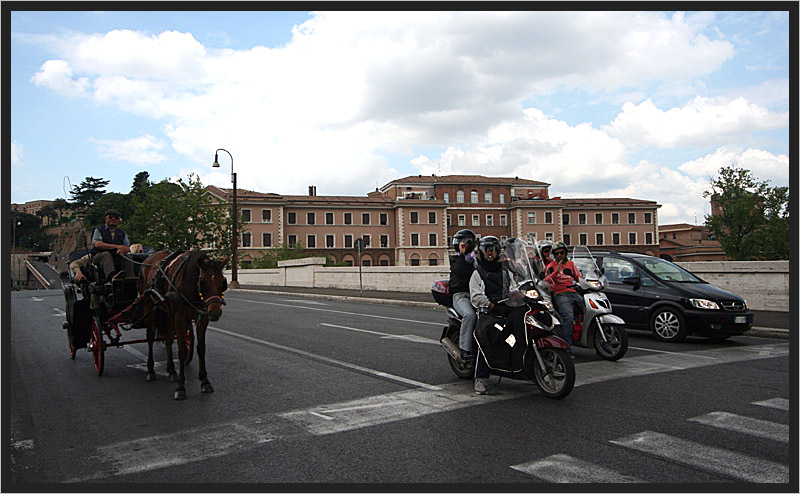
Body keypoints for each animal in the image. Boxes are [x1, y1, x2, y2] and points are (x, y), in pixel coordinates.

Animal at [138, 249, 228, 400]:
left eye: (222, 282)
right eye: (203, 282)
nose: (215, 313)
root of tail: (149, 258)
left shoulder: (203, 317)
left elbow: (201, 348)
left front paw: (205, 381)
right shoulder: (181, 317)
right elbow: (182, 351)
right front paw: (181, 387)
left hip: (168, 313)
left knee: (168, 339)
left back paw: (171, 371)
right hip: (148, 306)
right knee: (150, 338)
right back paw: (151, 370)